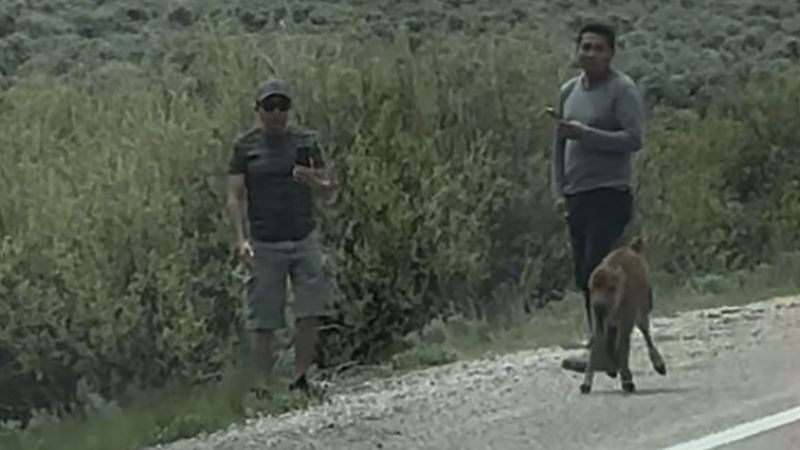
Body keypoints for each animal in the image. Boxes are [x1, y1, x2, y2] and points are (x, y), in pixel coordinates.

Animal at [580, 236, 664, 394]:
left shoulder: (624, 321)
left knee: (643, 334)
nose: (599, 304)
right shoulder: (602, 321)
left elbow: (621, 348)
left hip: (638, 313)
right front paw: (586, 384)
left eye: (611, 288)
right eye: (593, 287)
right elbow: (601, 347)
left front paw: (626, 380)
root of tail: (632, 248)